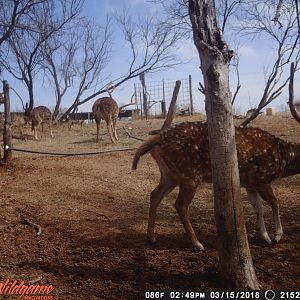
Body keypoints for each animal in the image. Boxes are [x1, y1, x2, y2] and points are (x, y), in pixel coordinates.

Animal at [132, 121, 300, 251]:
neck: (283, 158)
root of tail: (157, 138)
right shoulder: (262, 179)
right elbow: (274, 202)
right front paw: (276, 236)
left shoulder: (250, 184)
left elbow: (259, 208)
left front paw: (265, 237)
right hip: (189, 175)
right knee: (180, 205)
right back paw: (197, 244)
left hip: (169, 175)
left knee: (154, 195)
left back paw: (151, 237)